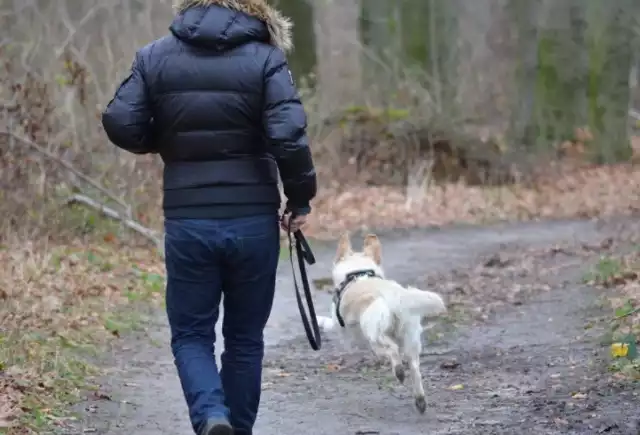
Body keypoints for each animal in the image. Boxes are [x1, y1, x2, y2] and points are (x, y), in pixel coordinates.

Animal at [318, 233, 448, 414]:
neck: (357, 273)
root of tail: (396, 297)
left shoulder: (340, 325)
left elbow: (332, 325)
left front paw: (319, 321)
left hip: (375, 334)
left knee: (392, 350)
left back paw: (399, 372)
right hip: (410, 339)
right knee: (414, 368)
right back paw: (420, 400)